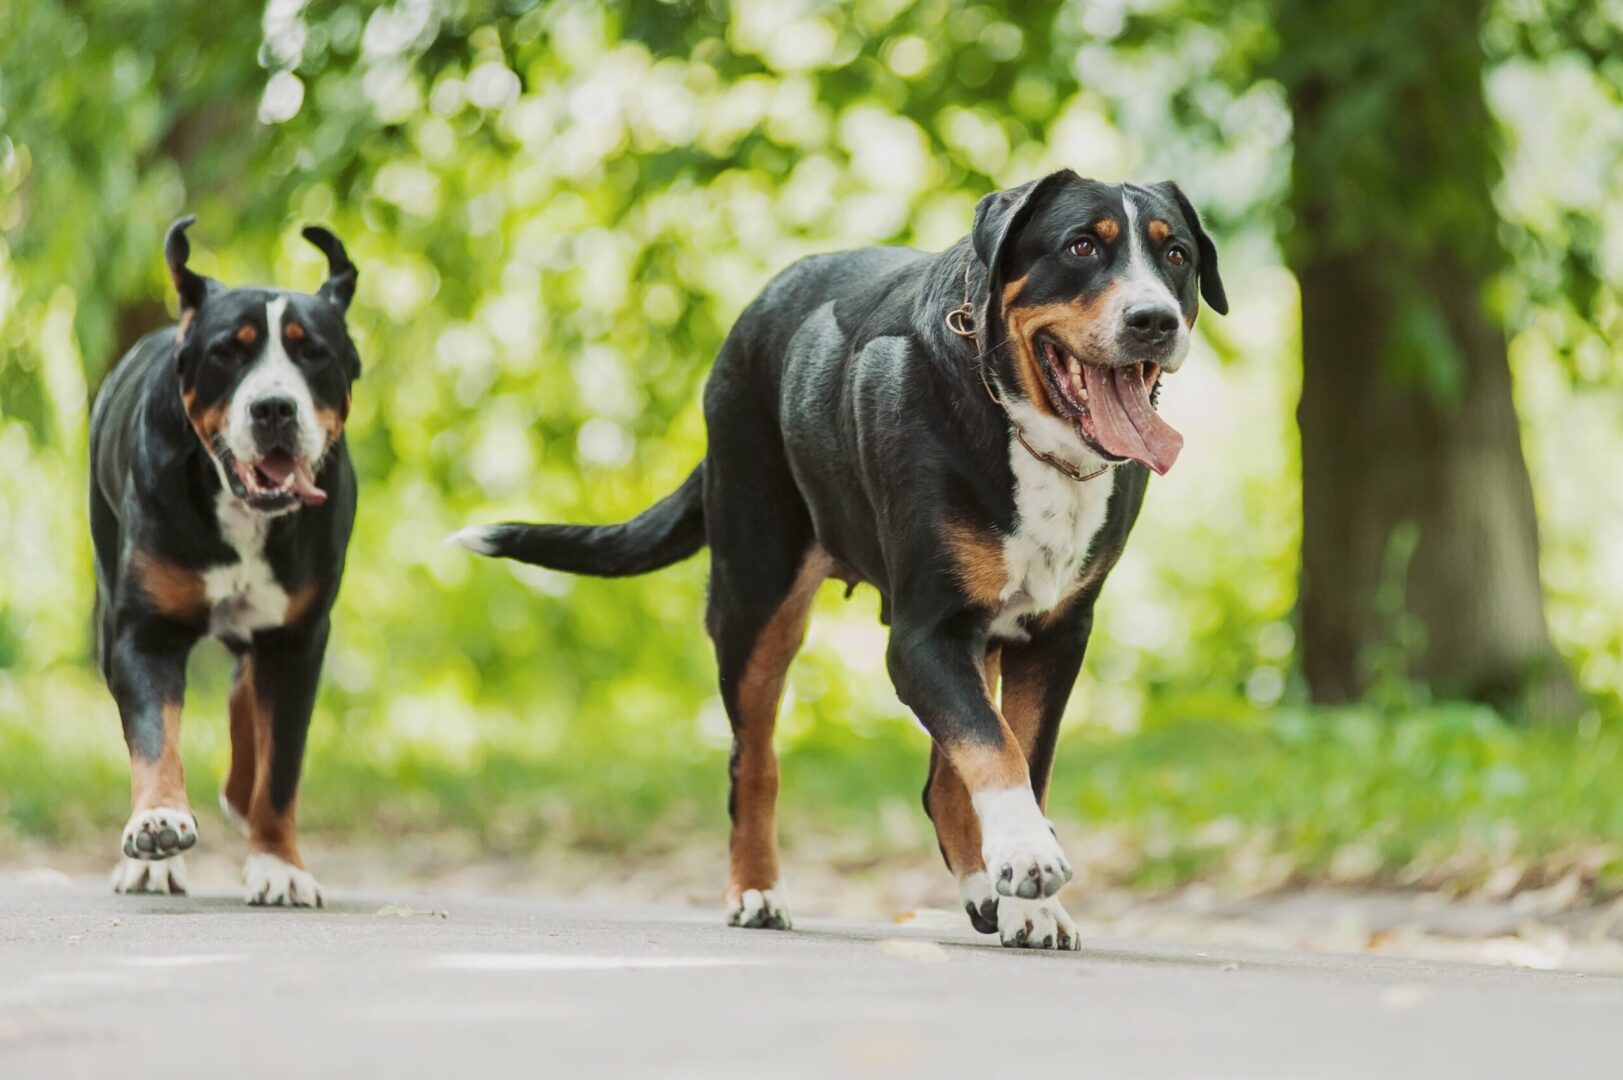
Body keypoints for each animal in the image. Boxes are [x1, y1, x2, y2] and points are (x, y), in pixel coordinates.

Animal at [90, 217, 363, 902]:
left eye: (312, 352)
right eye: (227, 353)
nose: (273, 407)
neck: (244, 512)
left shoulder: (299, 640)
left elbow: (281, 766)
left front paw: (279, 864)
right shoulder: (144, 633)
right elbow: (154, 738)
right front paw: (157, 827)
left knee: (247, 689)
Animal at [451, 172, 1220, 948]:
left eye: (1176, 255)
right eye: (1081, 246)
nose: (1154, 320)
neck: (1024, 432)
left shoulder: (1053, 635)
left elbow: (1018, 755)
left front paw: (1030, 900)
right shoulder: (922, 635)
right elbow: (991, 745)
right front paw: (1029, 859)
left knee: (940, 780)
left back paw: (982, 887)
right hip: (755, 598)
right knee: (753, 762)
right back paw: (757, 891)